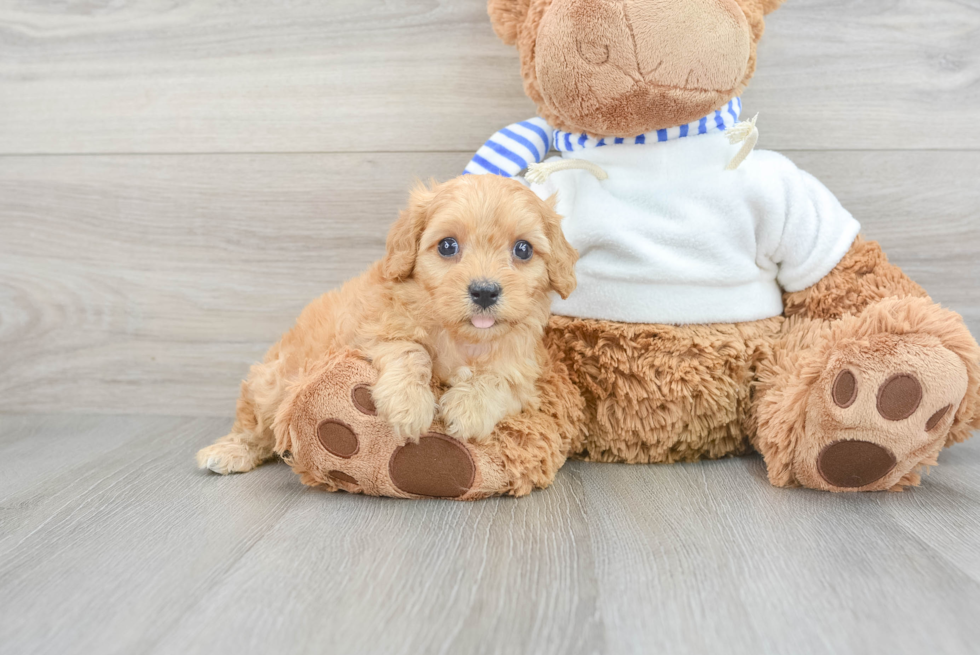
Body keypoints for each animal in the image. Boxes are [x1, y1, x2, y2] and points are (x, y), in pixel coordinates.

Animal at [195, 173, 576, 472]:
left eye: (523, 250)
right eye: (448, 246)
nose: (484, 291)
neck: (462, 338)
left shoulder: (523, 374)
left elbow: (498, 379)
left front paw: (470, 407)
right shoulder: (369, 332)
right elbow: (409, 349)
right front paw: (409, 405)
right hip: (272, 382)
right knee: (257, 426)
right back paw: (229, 451)